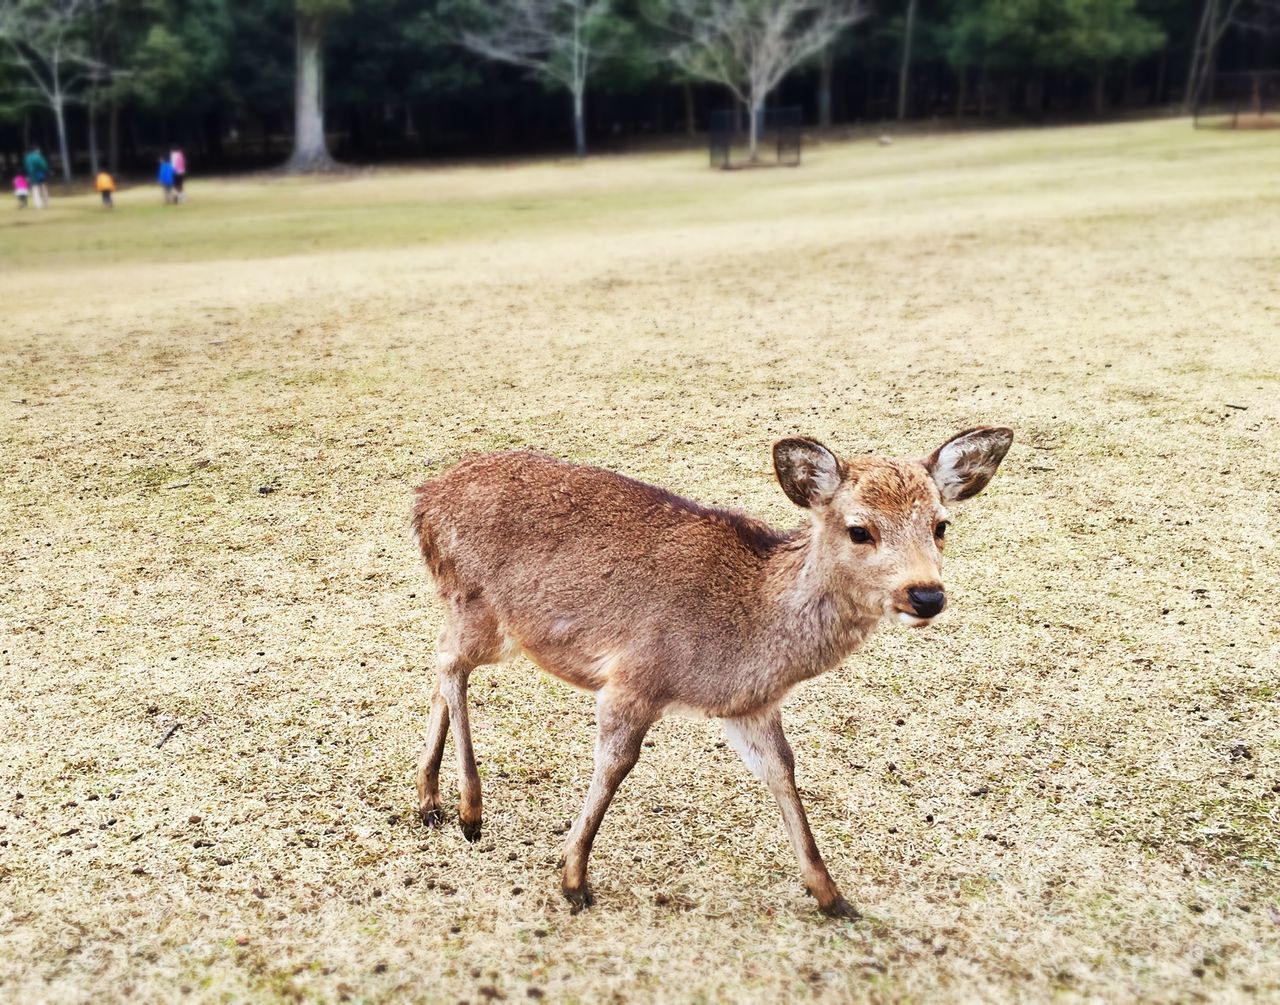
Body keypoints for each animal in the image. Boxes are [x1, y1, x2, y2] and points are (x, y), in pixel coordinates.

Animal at [409, 425, 1008, 916]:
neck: (748, 638)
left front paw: (832, 895)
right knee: (449, 662)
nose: (926, 595)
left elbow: (782, 770)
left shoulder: (749, 707)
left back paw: (429, 799)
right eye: (860, 530)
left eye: (940, 525)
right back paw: (469, 810)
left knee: (441, 660)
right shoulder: (634, 678)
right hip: (484, 607)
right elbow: (615, 766)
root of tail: (423, 499)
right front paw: (574, 879)